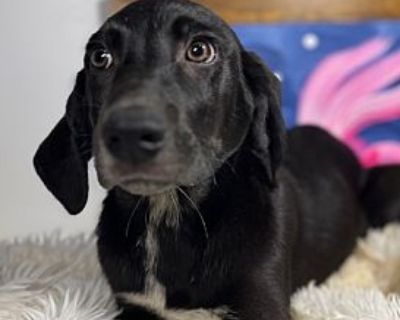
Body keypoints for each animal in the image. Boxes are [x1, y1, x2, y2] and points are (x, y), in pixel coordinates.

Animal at [35, 1, 372, 318]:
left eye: (199, 50)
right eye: (100, 57)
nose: (129, 133)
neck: (167, 211)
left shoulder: (263, 302)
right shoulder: (130, 304)